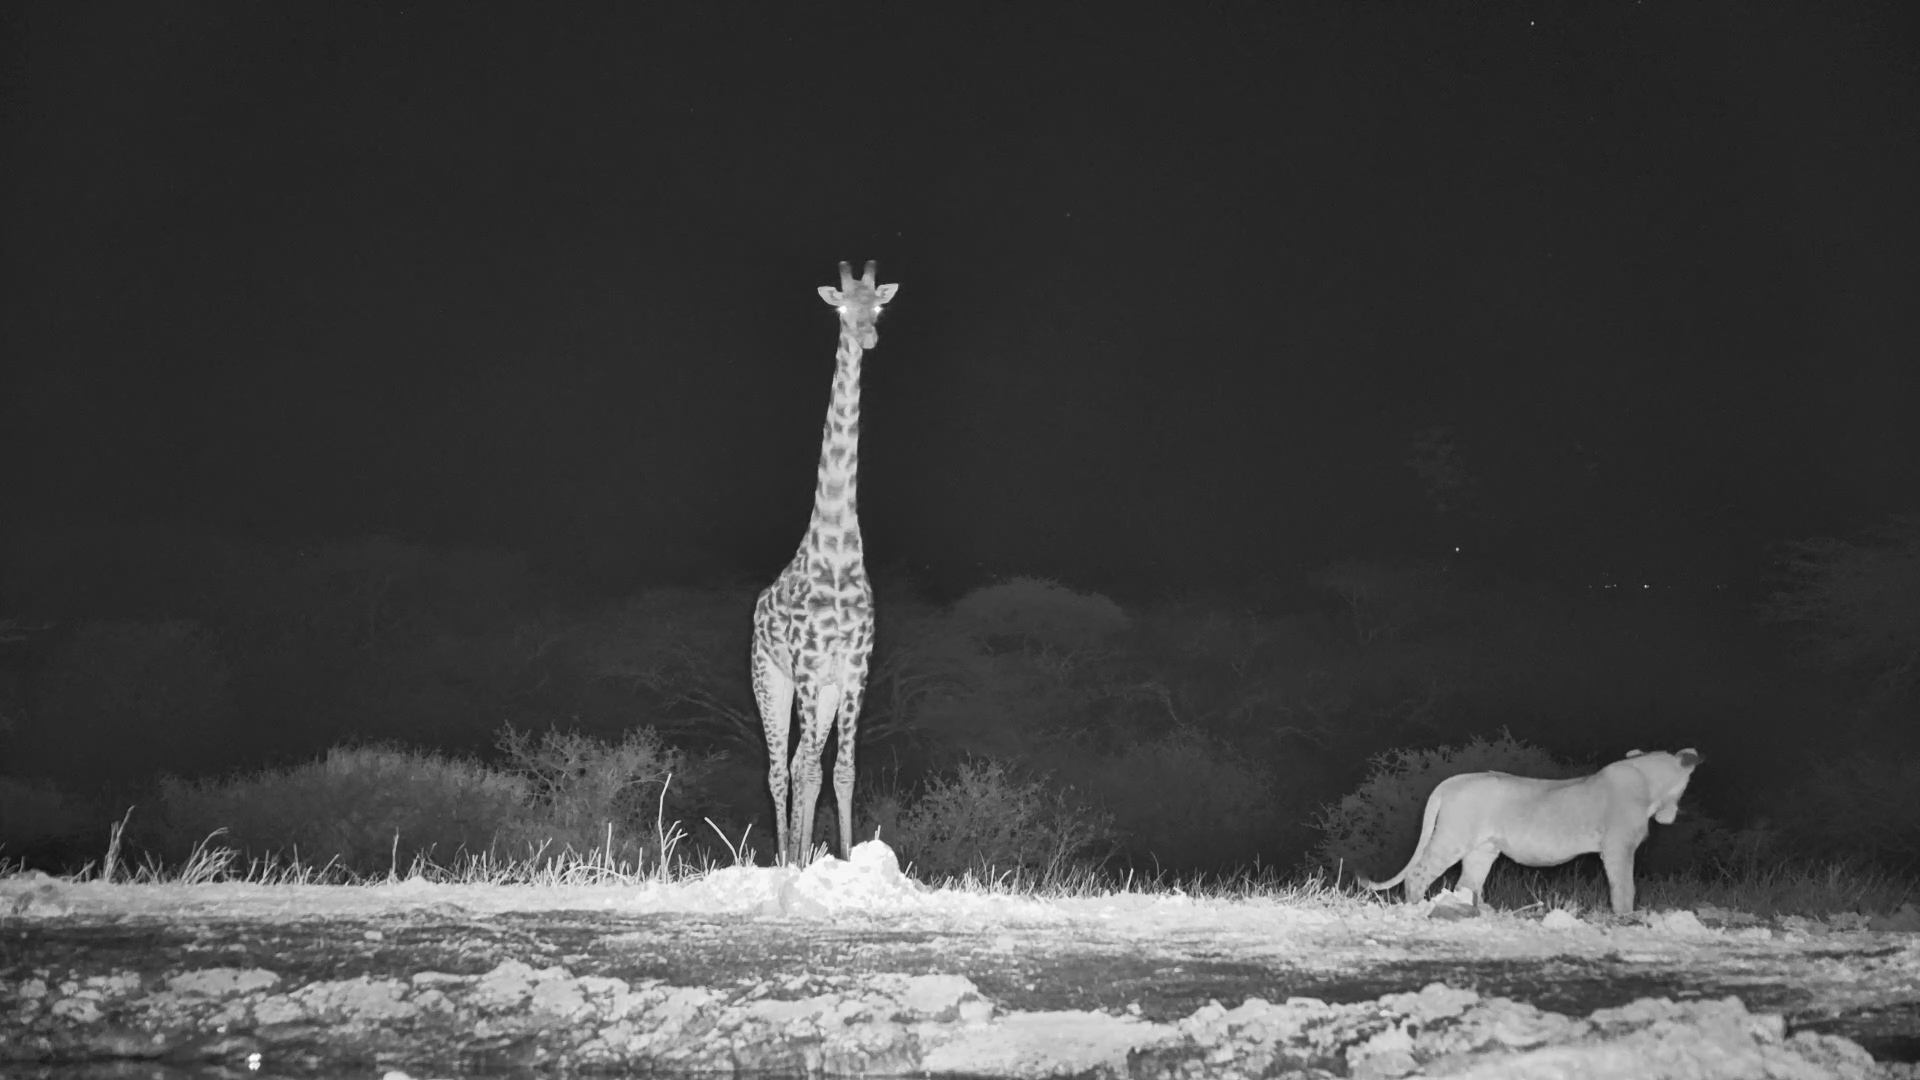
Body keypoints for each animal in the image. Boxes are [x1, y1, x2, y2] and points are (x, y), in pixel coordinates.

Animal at [1357, 748, 1703, 914]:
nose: (1672, 815)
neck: (1649, 784)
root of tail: (1452, 780)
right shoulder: (1618, 847)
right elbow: (1624, 887)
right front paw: (1625, 917)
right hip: (1453, 837)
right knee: (1418, 874)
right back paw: (1416, 908)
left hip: (1483, 848)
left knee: (1467, 883)